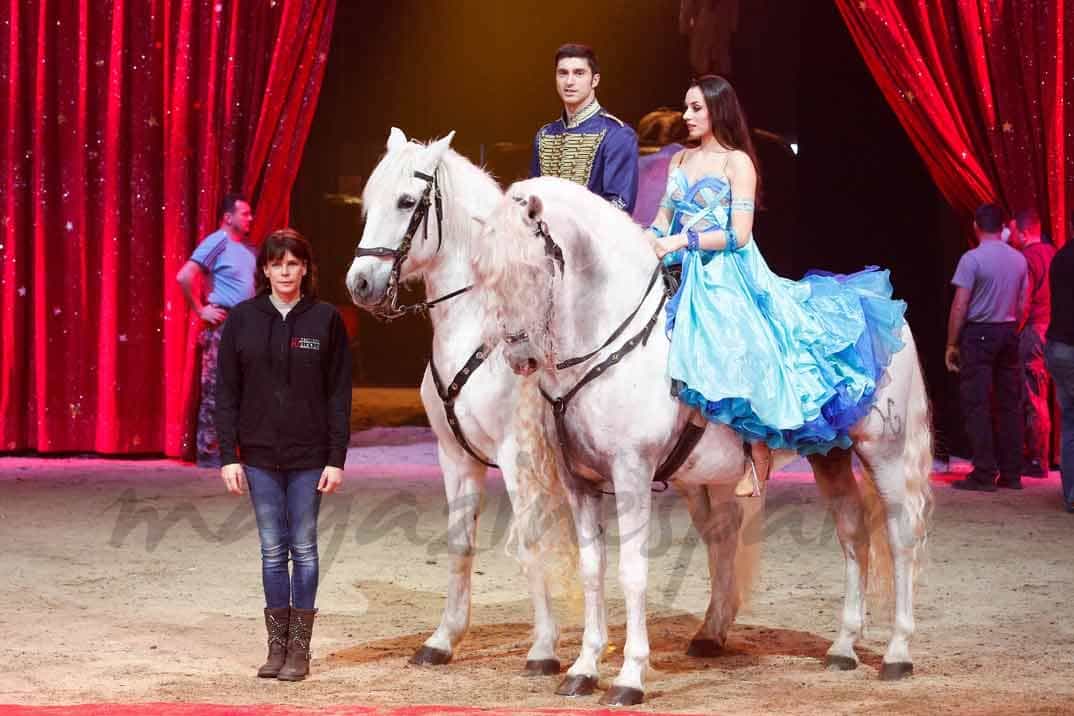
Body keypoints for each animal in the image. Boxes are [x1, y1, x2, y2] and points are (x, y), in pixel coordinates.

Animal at [470, 178, 932, 704]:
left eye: (531, 267)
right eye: (486, 274)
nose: (520, 357)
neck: (608, 346)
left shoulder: (631, 473)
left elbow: (632, 572)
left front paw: (629, 677)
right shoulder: (579, 482)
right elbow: (592, 570)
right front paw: (583, 669)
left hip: (883, 453)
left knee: (900, 537)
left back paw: (897, 654)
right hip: (830, 455)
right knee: (854, 533)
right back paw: (843, 647)